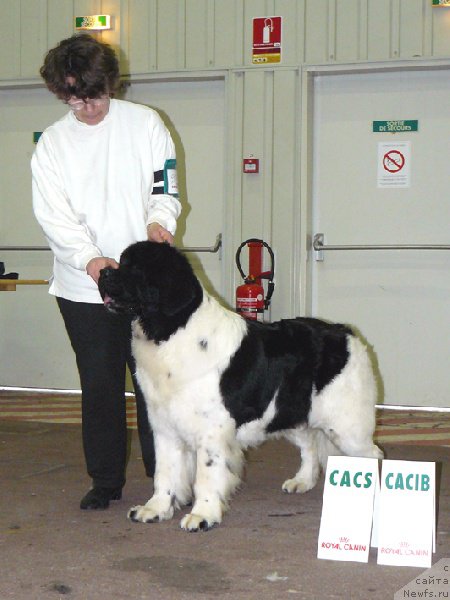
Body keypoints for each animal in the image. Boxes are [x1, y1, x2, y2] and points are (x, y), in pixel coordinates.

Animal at [99, 241, 384, 532]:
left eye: (136, 268)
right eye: (120, 262)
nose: (103, 272)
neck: (171, 330)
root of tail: (346, 332)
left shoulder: (211, 430)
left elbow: (206, 474)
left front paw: (202, 515)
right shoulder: (163, 425)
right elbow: (164, 472)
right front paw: (155, 509)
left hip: (346, 427)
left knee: (373, 454)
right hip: (290, 412)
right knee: (310, 444)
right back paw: (302, 481)